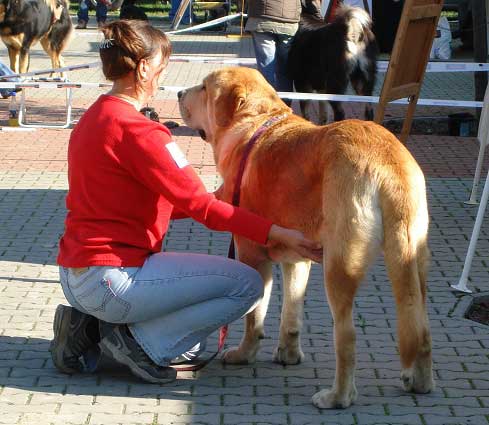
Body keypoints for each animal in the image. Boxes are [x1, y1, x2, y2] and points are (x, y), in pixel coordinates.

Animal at [177, 66, 432, 408]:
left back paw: (337, 396)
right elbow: (291, 312)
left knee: (347, 336)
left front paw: (244, 354)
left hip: (339, 267)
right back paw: (420, 383)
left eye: (204, 87)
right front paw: (288, 354)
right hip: (414, 260)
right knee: (421, 326)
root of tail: (387, 158)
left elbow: (254, 316)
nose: (179, 93)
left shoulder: (251, 254)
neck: (255, 125)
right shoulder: (297, 260)